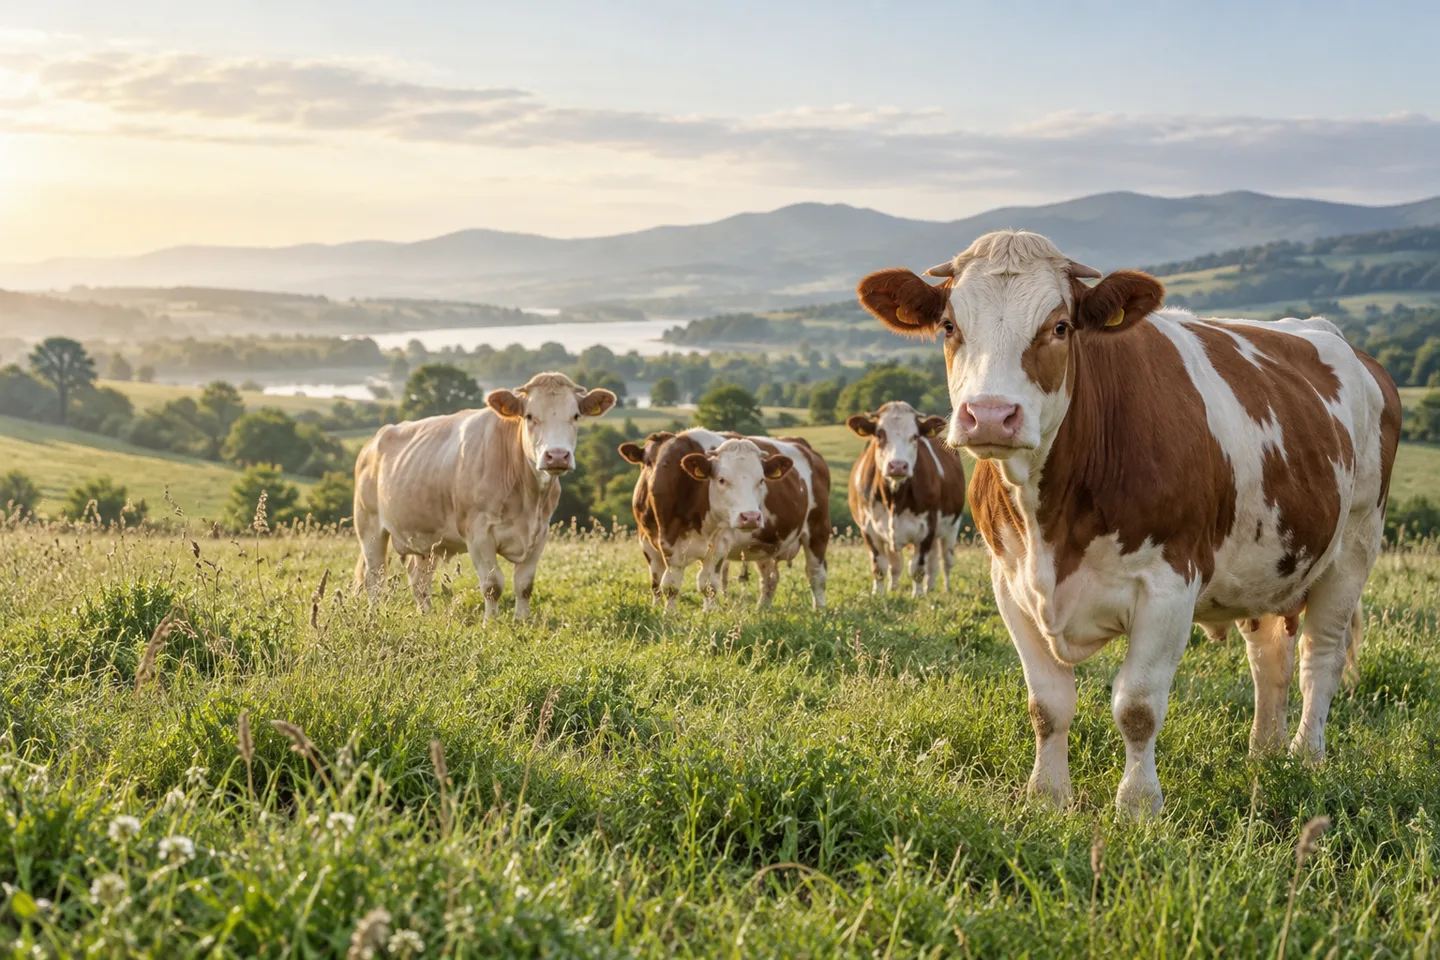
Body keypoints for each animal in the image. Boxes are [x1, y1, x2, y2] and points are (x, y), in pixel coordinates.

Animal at [352, 371, 616, 619]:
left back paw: (425, 615)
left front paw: (523, 621)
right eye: (530, 416)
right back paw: (374, 616)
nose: (557, 455)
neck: (527, 498)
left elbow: (524, 585)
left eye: (575, 416)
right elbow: (492, 585)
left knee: (418, 579)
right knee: (374, 578)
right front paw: (491, 623)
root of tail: (374, 441)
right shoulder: (478, 534)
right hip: (370, 527)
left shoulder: (541, 532)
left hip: (427, 538)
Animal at [624, 429, 830, 611]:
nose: (751, 517)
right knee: (769, 577)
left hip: (818, 529)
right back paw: (762, 609)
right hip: (763, 543)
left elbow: (708, 585)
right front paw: (664, 613)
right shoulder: (650, 543)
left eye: (761, 480)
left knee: (816, 574)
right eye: (721, 480)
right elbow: (661, 584)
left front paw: (708, 615)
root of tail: (803, 445)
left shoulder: (719, 543)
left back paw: (820, 610)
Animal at [846, 401, 967, 595]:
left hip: (952, 526)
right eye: (879, 434)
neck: (894, 498)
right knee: (903, 564)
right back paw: (909, 587)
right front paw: (879, 594)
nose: (897, 466)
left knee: (945, 560)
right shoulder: (868, 528)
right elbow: (880, 566)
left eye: (915, 436)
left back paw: (944, 589)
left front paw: (917, 595)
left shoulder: (928, 527)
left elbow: (917, 567)